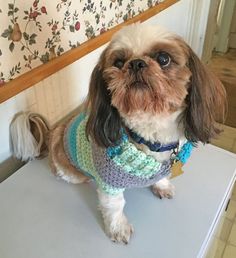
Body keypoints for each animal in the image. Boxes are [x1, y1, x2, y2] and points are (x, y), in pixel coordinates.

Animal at [11, 22, 227, 244]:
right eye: (119, 62)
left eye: (163, 58)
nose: (136, 63)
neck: (151, 133)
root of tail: (54, 132)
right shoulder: (109, 181)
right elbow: (115, 205)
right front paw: (118, 228)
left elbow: (160, 177)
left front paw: (162, 185)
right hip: (70, 171)